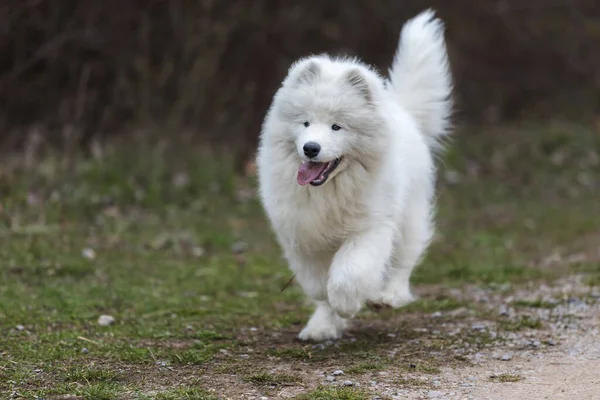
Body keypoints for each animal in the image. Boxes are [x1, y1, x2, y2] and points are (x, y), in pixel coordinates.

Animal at [255, 9, 452, 340]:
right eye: (305, 123)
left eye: (337, 127)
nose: (311, 148)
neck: (329, 190)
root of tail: (402, 111)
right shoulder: (300, 233)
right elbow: (318, 284)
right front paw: (328, 317)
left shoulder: (369, 228)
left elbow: (349, 272)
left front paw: (348, 304)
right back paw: (320, 328)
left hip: (409, 215)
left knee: (402, 262)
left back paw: (387, 296)